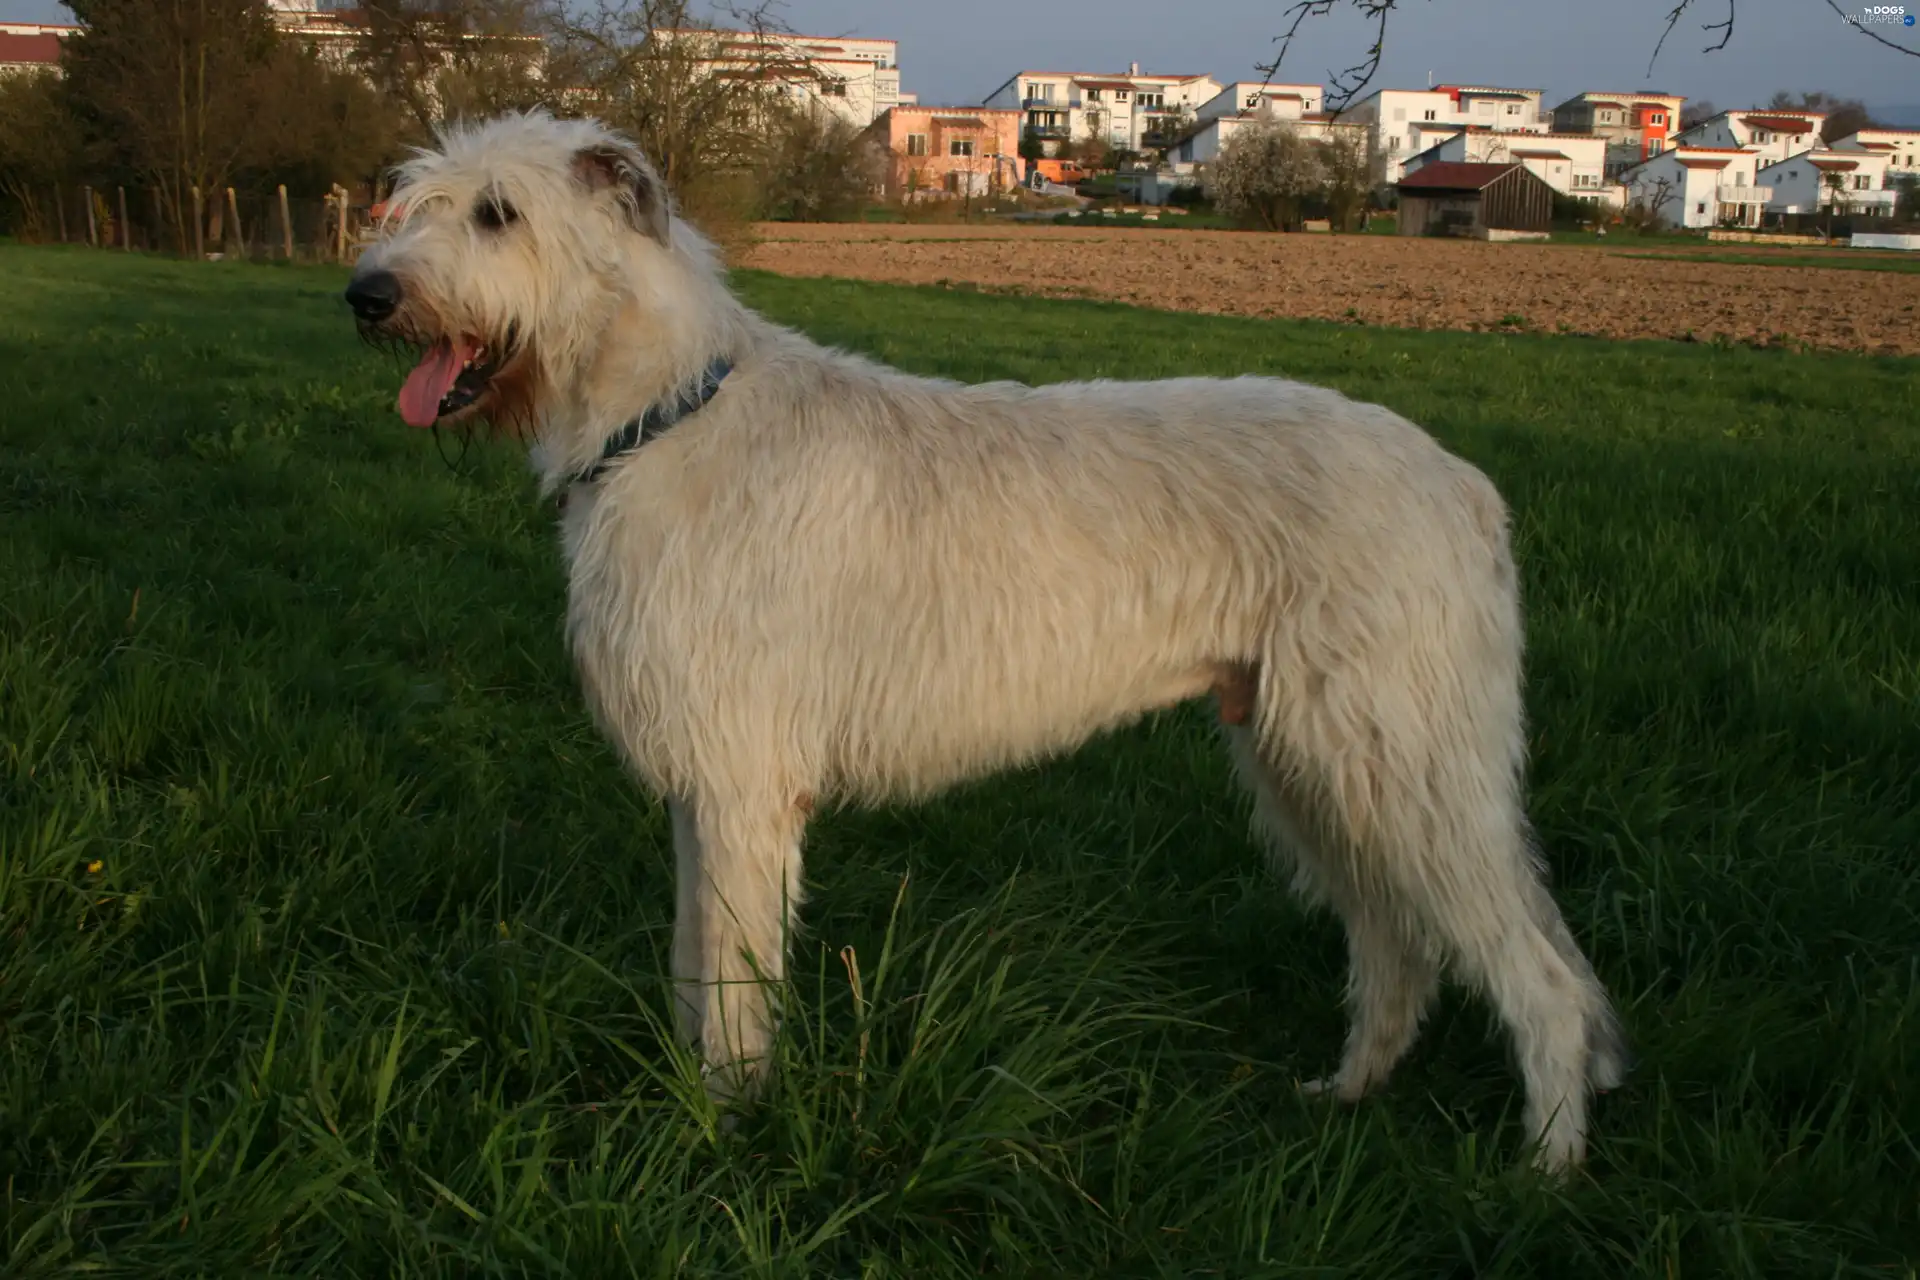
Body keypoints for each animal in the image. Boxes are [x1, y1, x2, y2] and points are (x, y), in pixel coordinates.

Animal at [341, 110, 1620, 1174]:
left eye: (498, 212)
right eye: (414, 197)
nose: (365, 293)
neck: (663, 417)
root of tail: (1465, 486)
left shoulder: (744, 786)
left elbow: (738, 981)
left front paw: (723, 1131)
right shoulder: (705, 788)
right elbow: (695, 956)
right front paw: (695, 1097)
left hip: (1396, 752)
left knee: (1538, 970)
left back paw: (1545, 1167)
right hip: (1314, 756)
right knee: (1399, 941)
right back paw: (1349, 1091)